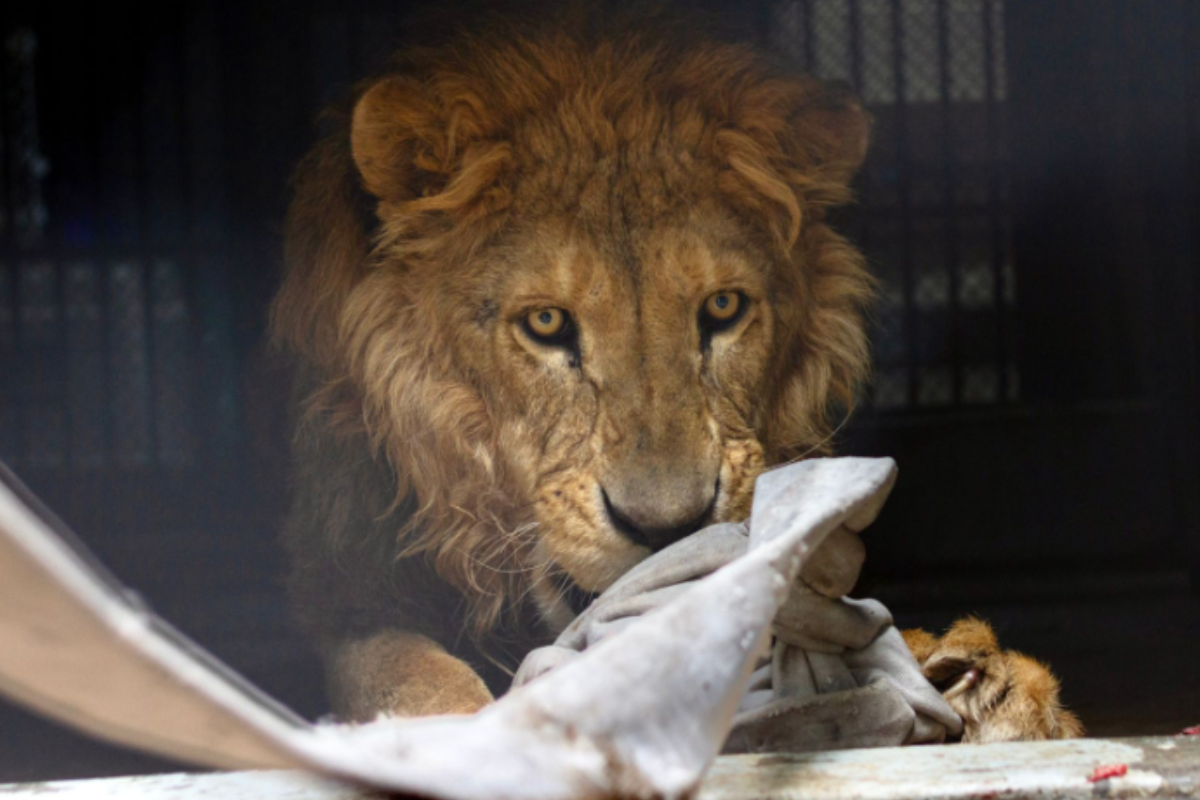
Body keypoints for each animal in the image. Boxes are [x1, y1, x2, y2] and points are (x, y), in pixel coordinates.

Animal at [270, 7, 1080, 743]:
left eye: (722, 307)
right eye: (546, 323)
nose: (668, 530)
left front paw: (990, 682)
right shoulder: (341, 595)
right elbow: (414, 675)